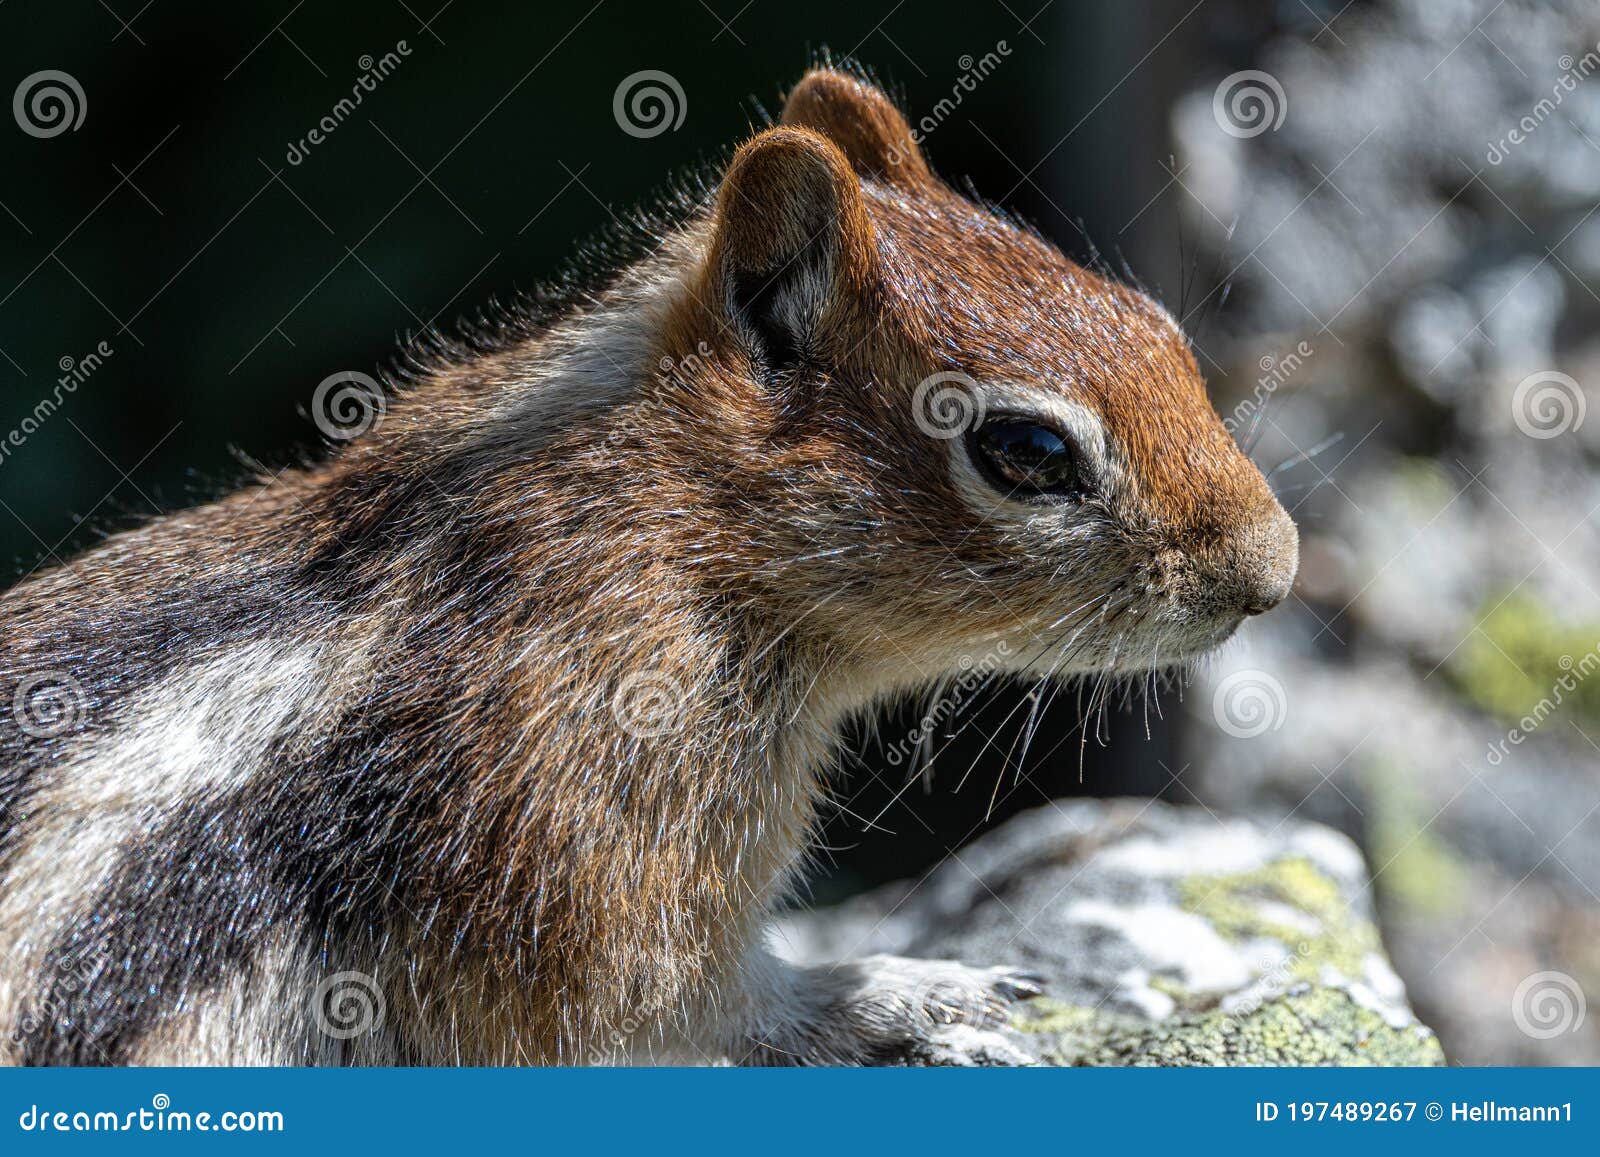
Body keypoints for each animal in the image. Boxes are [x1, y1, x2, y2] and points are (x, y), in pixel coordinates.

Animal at [0, 68, 1299, 1068]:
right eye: (1026, 450)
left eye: (1154, 324)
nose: (1273, 571)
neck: (659, 518)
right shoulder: (591, 825)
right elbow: (671, 1002)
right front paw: (897, 987)